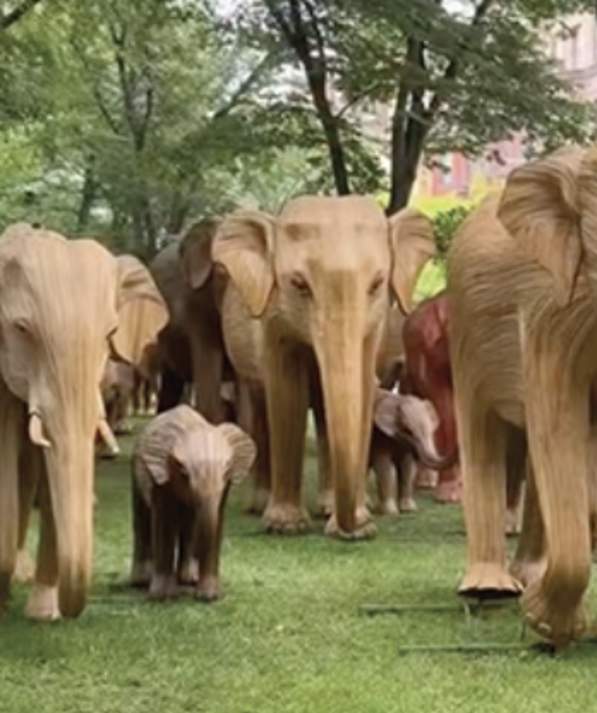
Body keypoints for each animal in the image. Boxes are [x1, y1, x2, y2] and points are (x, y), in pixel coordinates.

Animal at [130, 404, 255, 601]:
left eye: (227, 468)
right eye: (182, 471)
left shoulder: (224, 487)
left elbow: (216, 520)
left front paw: (209, 596)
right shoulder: (161, 477)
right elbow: (164, 522)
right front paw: (163, 597)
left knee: (189, 525)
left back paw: (188, 578)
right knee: (142, 519)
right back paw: (141, 581)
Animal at [214, 196, 436, 539]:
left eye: (377, 284)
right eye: (298, 284)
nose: (355, 530)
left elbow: (362, 387)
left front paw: (359, 525)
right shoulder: (272, 319)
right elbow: (286, 392)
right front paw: (285, 526)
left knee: (321, 410)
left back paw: (328, 508)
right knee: (262, 410)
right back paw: (260, 507)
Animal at [448, 146, 597, 646]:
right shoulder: (552, 312)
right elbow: (560, 431)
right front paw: (547, 627)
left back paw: (526, 576)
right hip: (465, 329)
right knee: (482, 436)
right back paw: (490, 589)